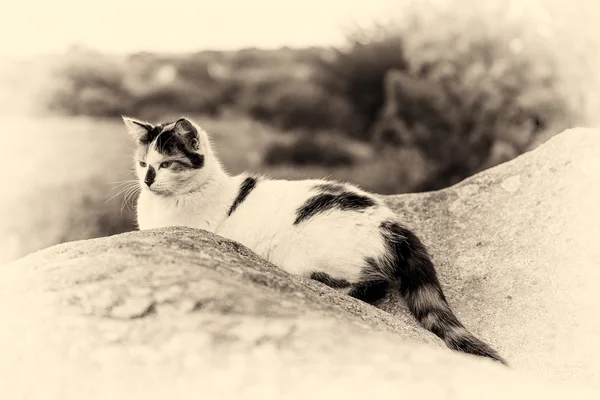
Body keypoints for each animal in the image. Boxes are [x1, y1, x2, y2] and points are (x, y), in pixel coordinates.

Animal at [122, 115, 506, 366]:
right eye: (142, 163)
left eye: (168, 163)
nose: (148, 180)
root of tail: (394, 224)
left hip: (311, 249)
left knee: (373, 284)